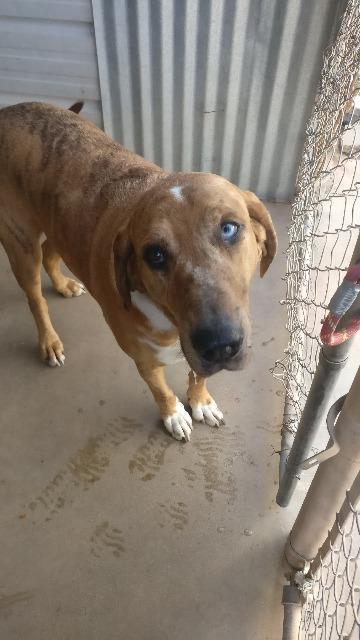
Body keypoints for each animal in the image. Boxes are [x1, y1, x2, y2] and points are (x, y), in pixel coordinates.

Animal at [0, 101, 278, 440]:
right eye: (155, 255)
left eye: (228, 228)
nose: (219, 345)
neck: (170, 322)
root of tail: (8, 111)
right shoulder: (143, 359)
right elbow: (160, 390)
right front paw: (174, 414)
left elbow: (198, 376)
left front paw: (200, 400)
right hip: (20, 244)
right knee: (35, 298)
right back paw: (49, 341)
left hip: (57, 225)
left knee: (52, 257)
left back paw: (64, 285)